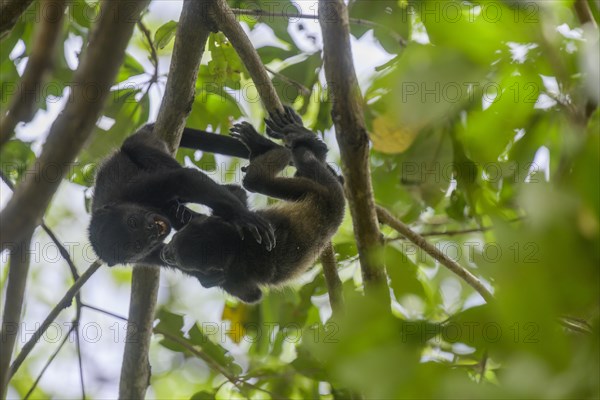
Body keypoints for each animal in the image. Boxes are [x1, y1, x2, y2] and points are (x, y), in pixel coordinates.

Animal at [88, 125, 276, 268]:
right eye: (137, 246)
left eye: (132, 222)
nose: (151, 230)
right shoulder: (146, 257)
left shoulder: (136, 190)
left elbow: (183, 179)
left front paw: (244, 217)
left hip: (143, 141)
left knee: (136, 148)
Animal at [161, 108, 346, 302]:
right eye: (173, 247)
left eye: (176, 258)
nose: (165, 254)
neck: (234, 244)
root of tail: (337, 213)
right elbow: (253, 296)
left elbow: (238, 192)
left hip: (323, 190)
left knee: (263, 177)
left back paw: (293, 140)